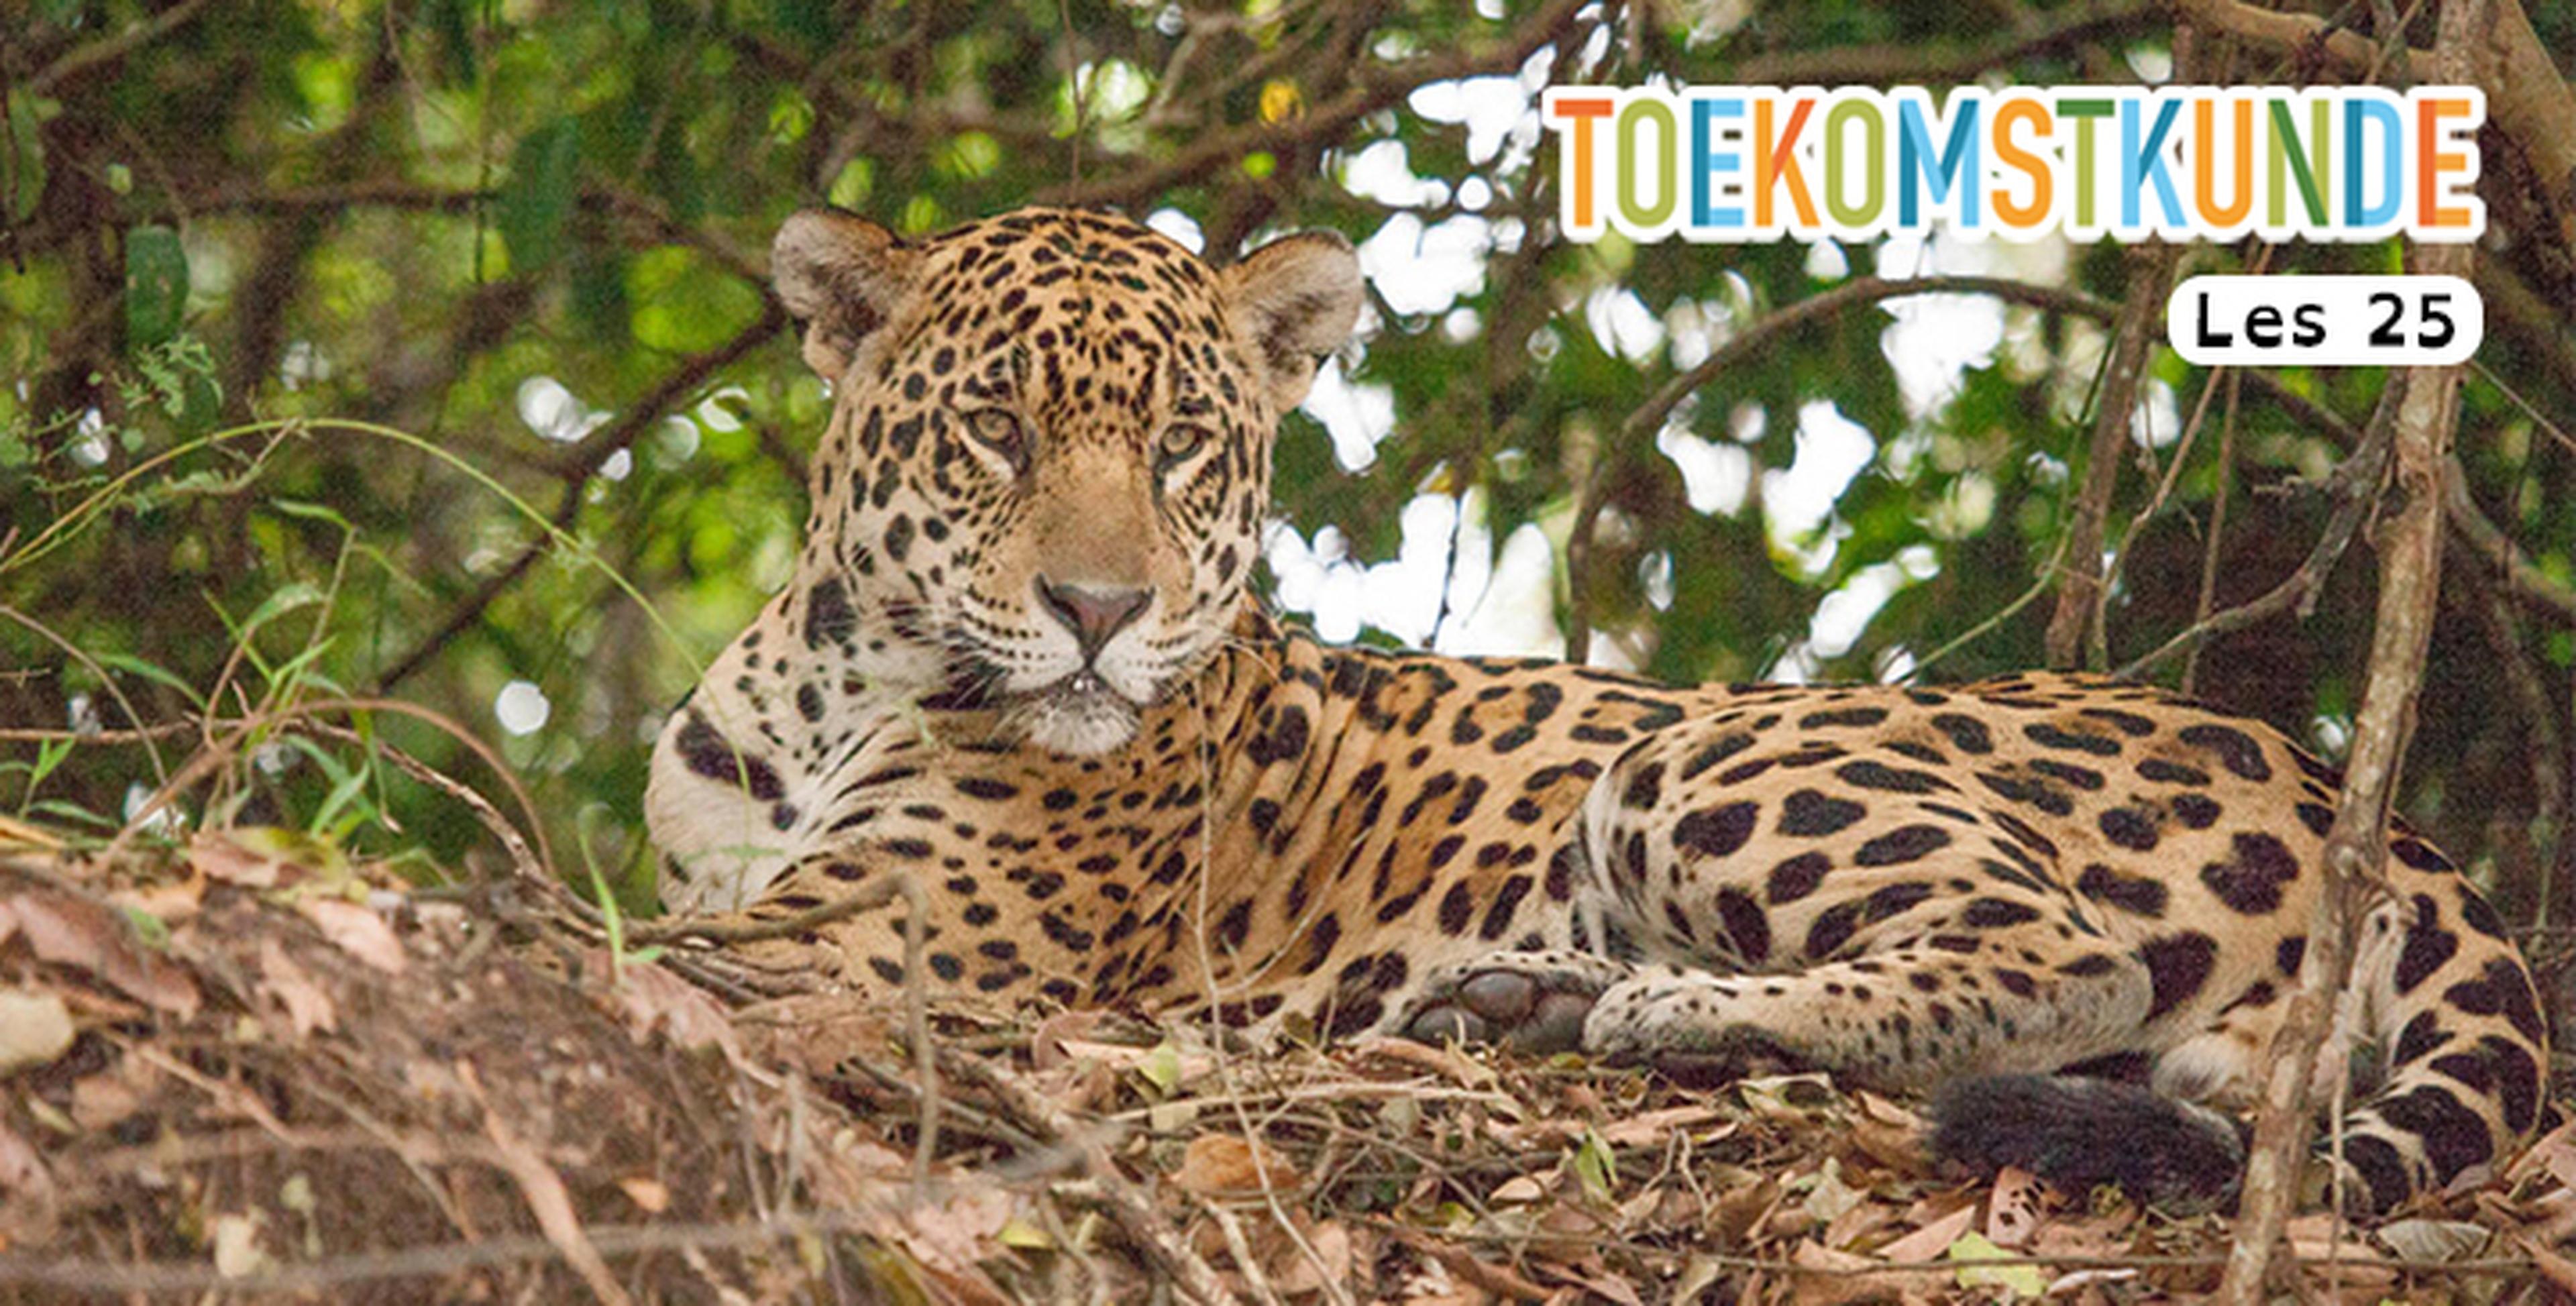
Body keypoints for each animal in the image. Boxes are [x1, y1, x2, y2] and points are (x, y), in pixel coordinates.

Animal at [644, 203, 2548, 1216]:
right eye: (996, 431)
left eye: (1182, 444)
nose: (1101, 614)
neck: (829, 685)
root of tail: (2352, 792)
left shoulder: (877, 927)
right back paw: (1525, 997)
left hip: (1703, 750)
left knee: (2061, 959)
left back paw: (1650, 1011)